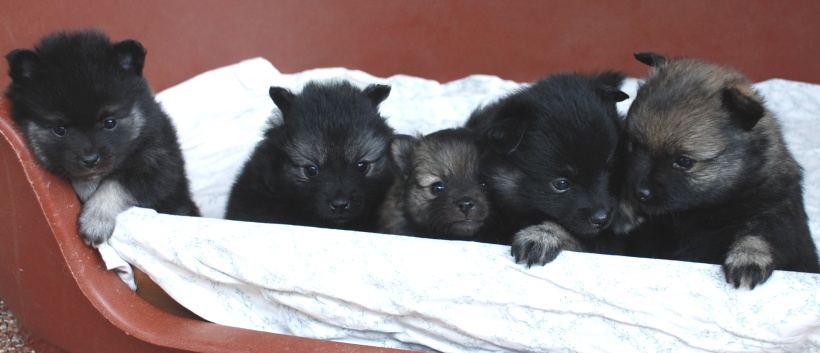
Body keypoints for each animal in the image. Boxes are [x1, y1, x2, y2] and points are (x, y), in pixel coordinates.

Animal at [4, 29, 200, 245]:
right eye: (59, 129)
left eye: (110, 122)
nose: (90, 160)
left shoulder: (158, 166)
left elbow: (115, 185)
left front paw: (95, 220)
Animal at [620, 52, 820, 288]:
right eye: (633, 144)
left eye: (684, 161)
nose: (639, 193)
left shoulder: (777, 213)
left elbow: (759, 234)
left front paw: (748, 257)